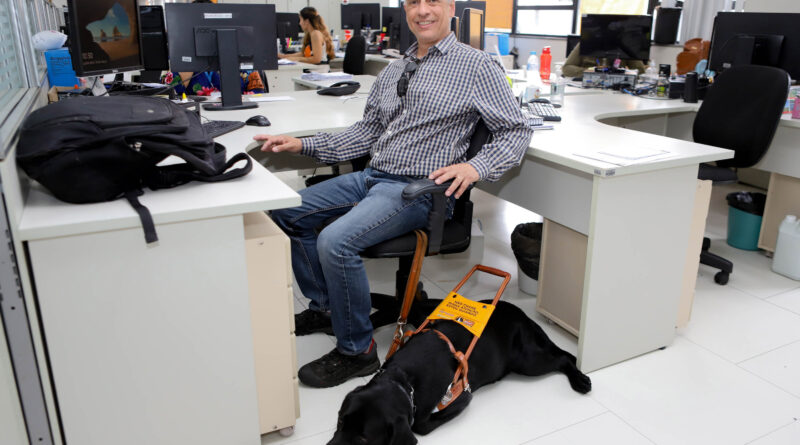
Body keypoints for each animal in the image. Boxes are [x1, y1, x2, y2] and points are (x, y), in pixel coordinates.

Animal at [328, 299, 592, 445]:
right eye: (340, 421)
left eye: (363, 438)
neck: (402, 379)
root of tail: (521, 314)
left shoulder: (461, 397)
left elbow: (420, 426)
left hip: (528, 361)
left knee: (565, 358)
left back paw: (580, 380)